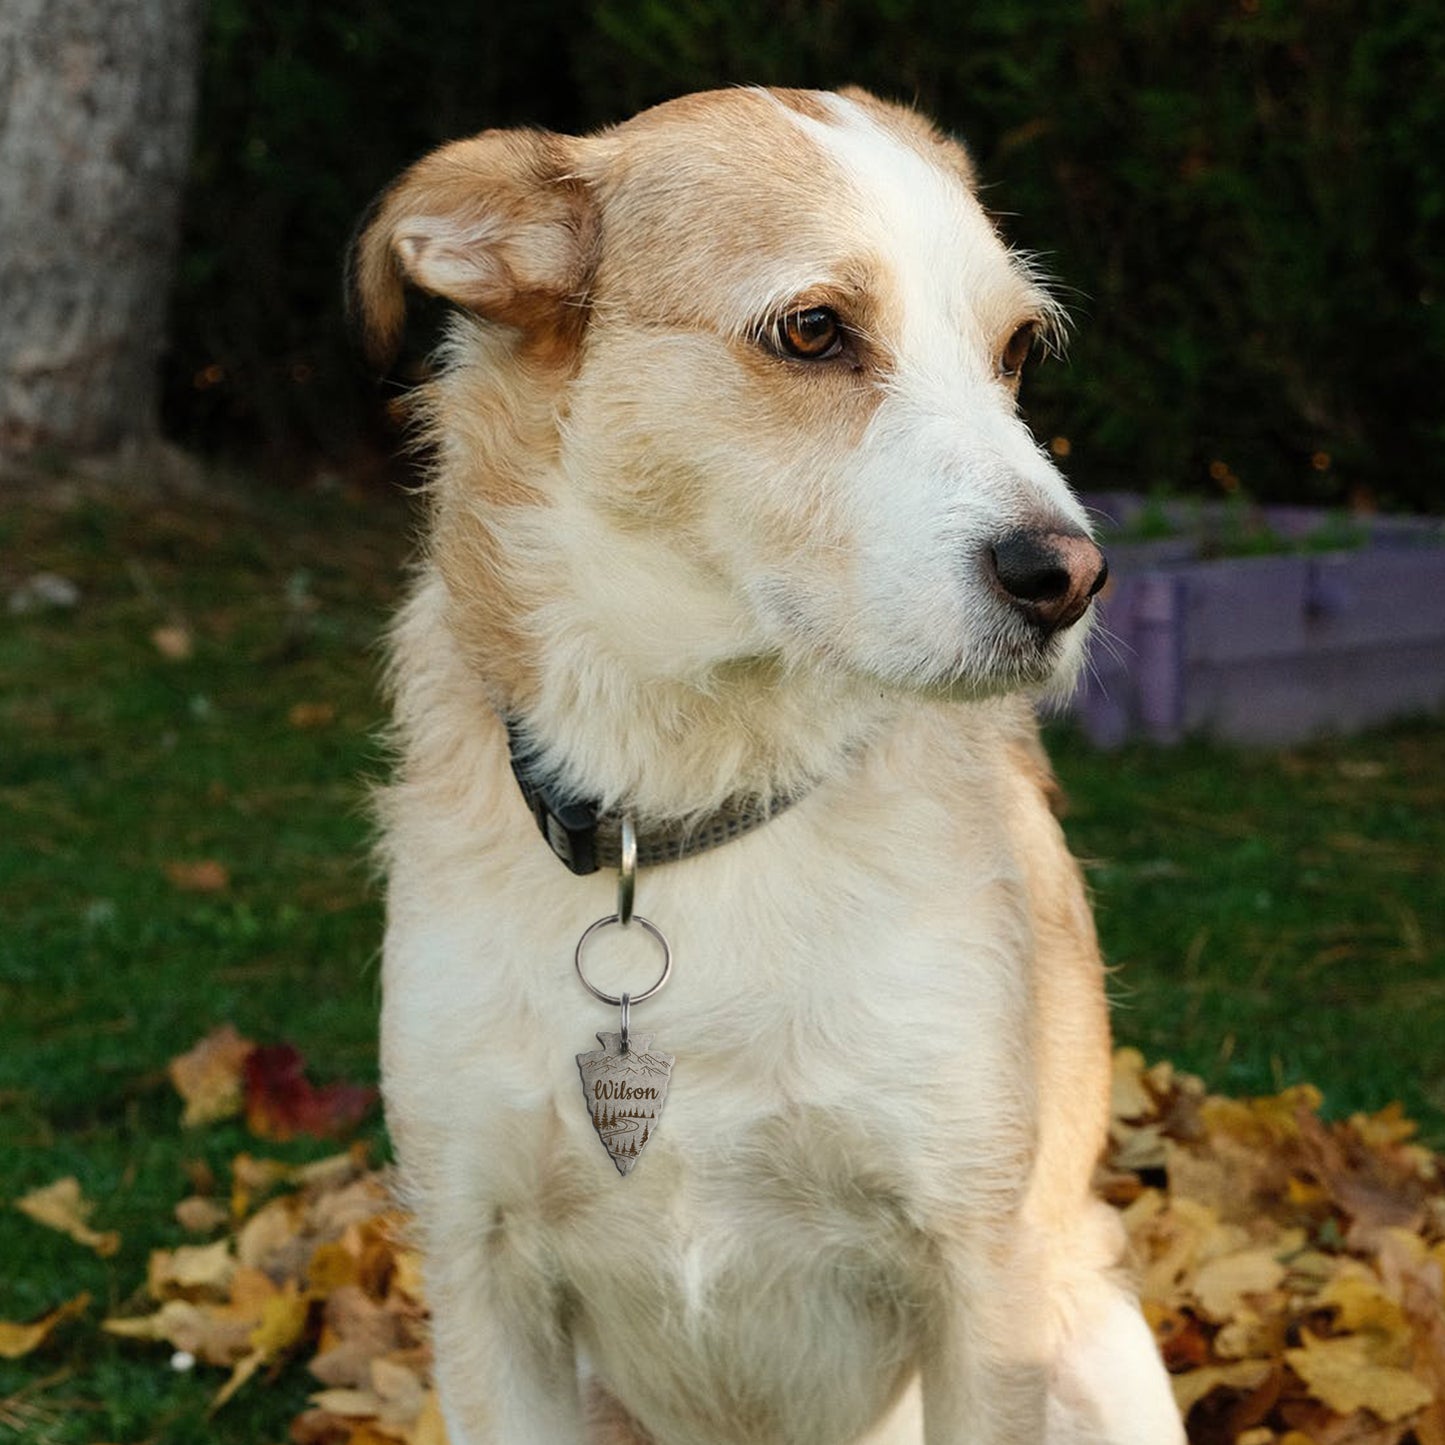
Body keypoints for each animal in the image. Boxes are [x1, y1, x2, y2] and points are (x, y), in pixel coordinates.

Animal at [352, 87, 1184, 1445]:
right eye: (810, 329)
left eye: (1014, 351)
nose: (1068, 577)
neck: (682, 805)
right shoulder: (480, 1274)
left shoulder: (981, 1273)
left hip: (1093, 1340)